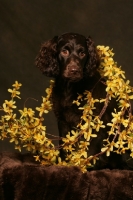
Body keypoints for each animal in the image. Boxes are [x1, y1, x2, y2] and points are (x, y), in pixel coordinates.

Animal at [35, 32, 132, 169]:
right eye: (64, 51)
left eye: (82, 53)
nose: (74, 70)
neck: (69, 88)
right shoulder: (63, 120)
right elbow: (65, 144)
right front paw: (65, 162)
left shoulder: (95, 121)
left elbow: (90, 148)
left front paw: (85, 166)